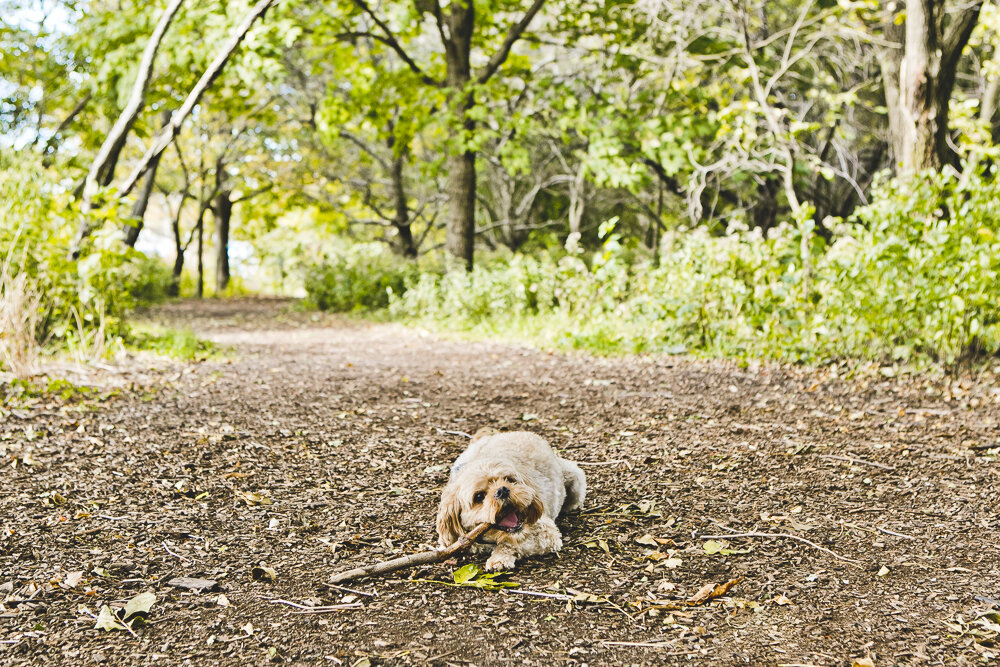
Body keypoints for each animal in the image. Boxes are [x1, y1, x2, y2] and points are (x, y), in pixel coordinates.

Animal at [438, 430, 584, 572]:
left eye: (509, 479)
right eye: (478, 497)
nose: (502, 490)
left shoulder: (545, 532)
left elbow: (511, 543)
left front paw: (499, 558)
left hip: (575, 477)